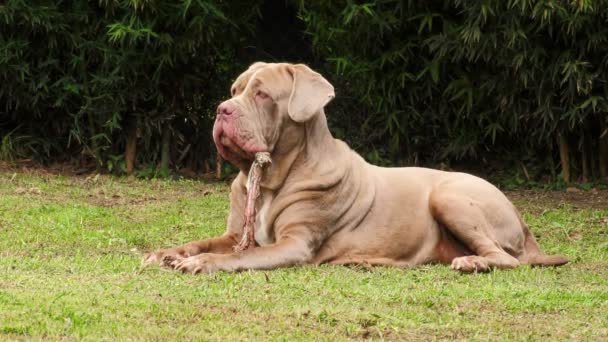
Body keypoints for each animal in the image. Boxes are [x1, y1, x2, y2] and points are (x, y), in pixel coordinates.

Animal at [144, 62, 568, 272]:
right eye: (234, 91)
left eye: (262, 94)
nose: (221, 109)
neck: (271, 178)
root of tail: (523, 222)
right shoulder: (236, 234)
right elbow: (207, 241)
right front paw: (167, 252)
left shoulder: (294, 243)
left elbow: (237, 257)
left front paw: (200, 263)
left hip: (450, 196)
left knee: (506, 258)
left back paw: (473, 263)